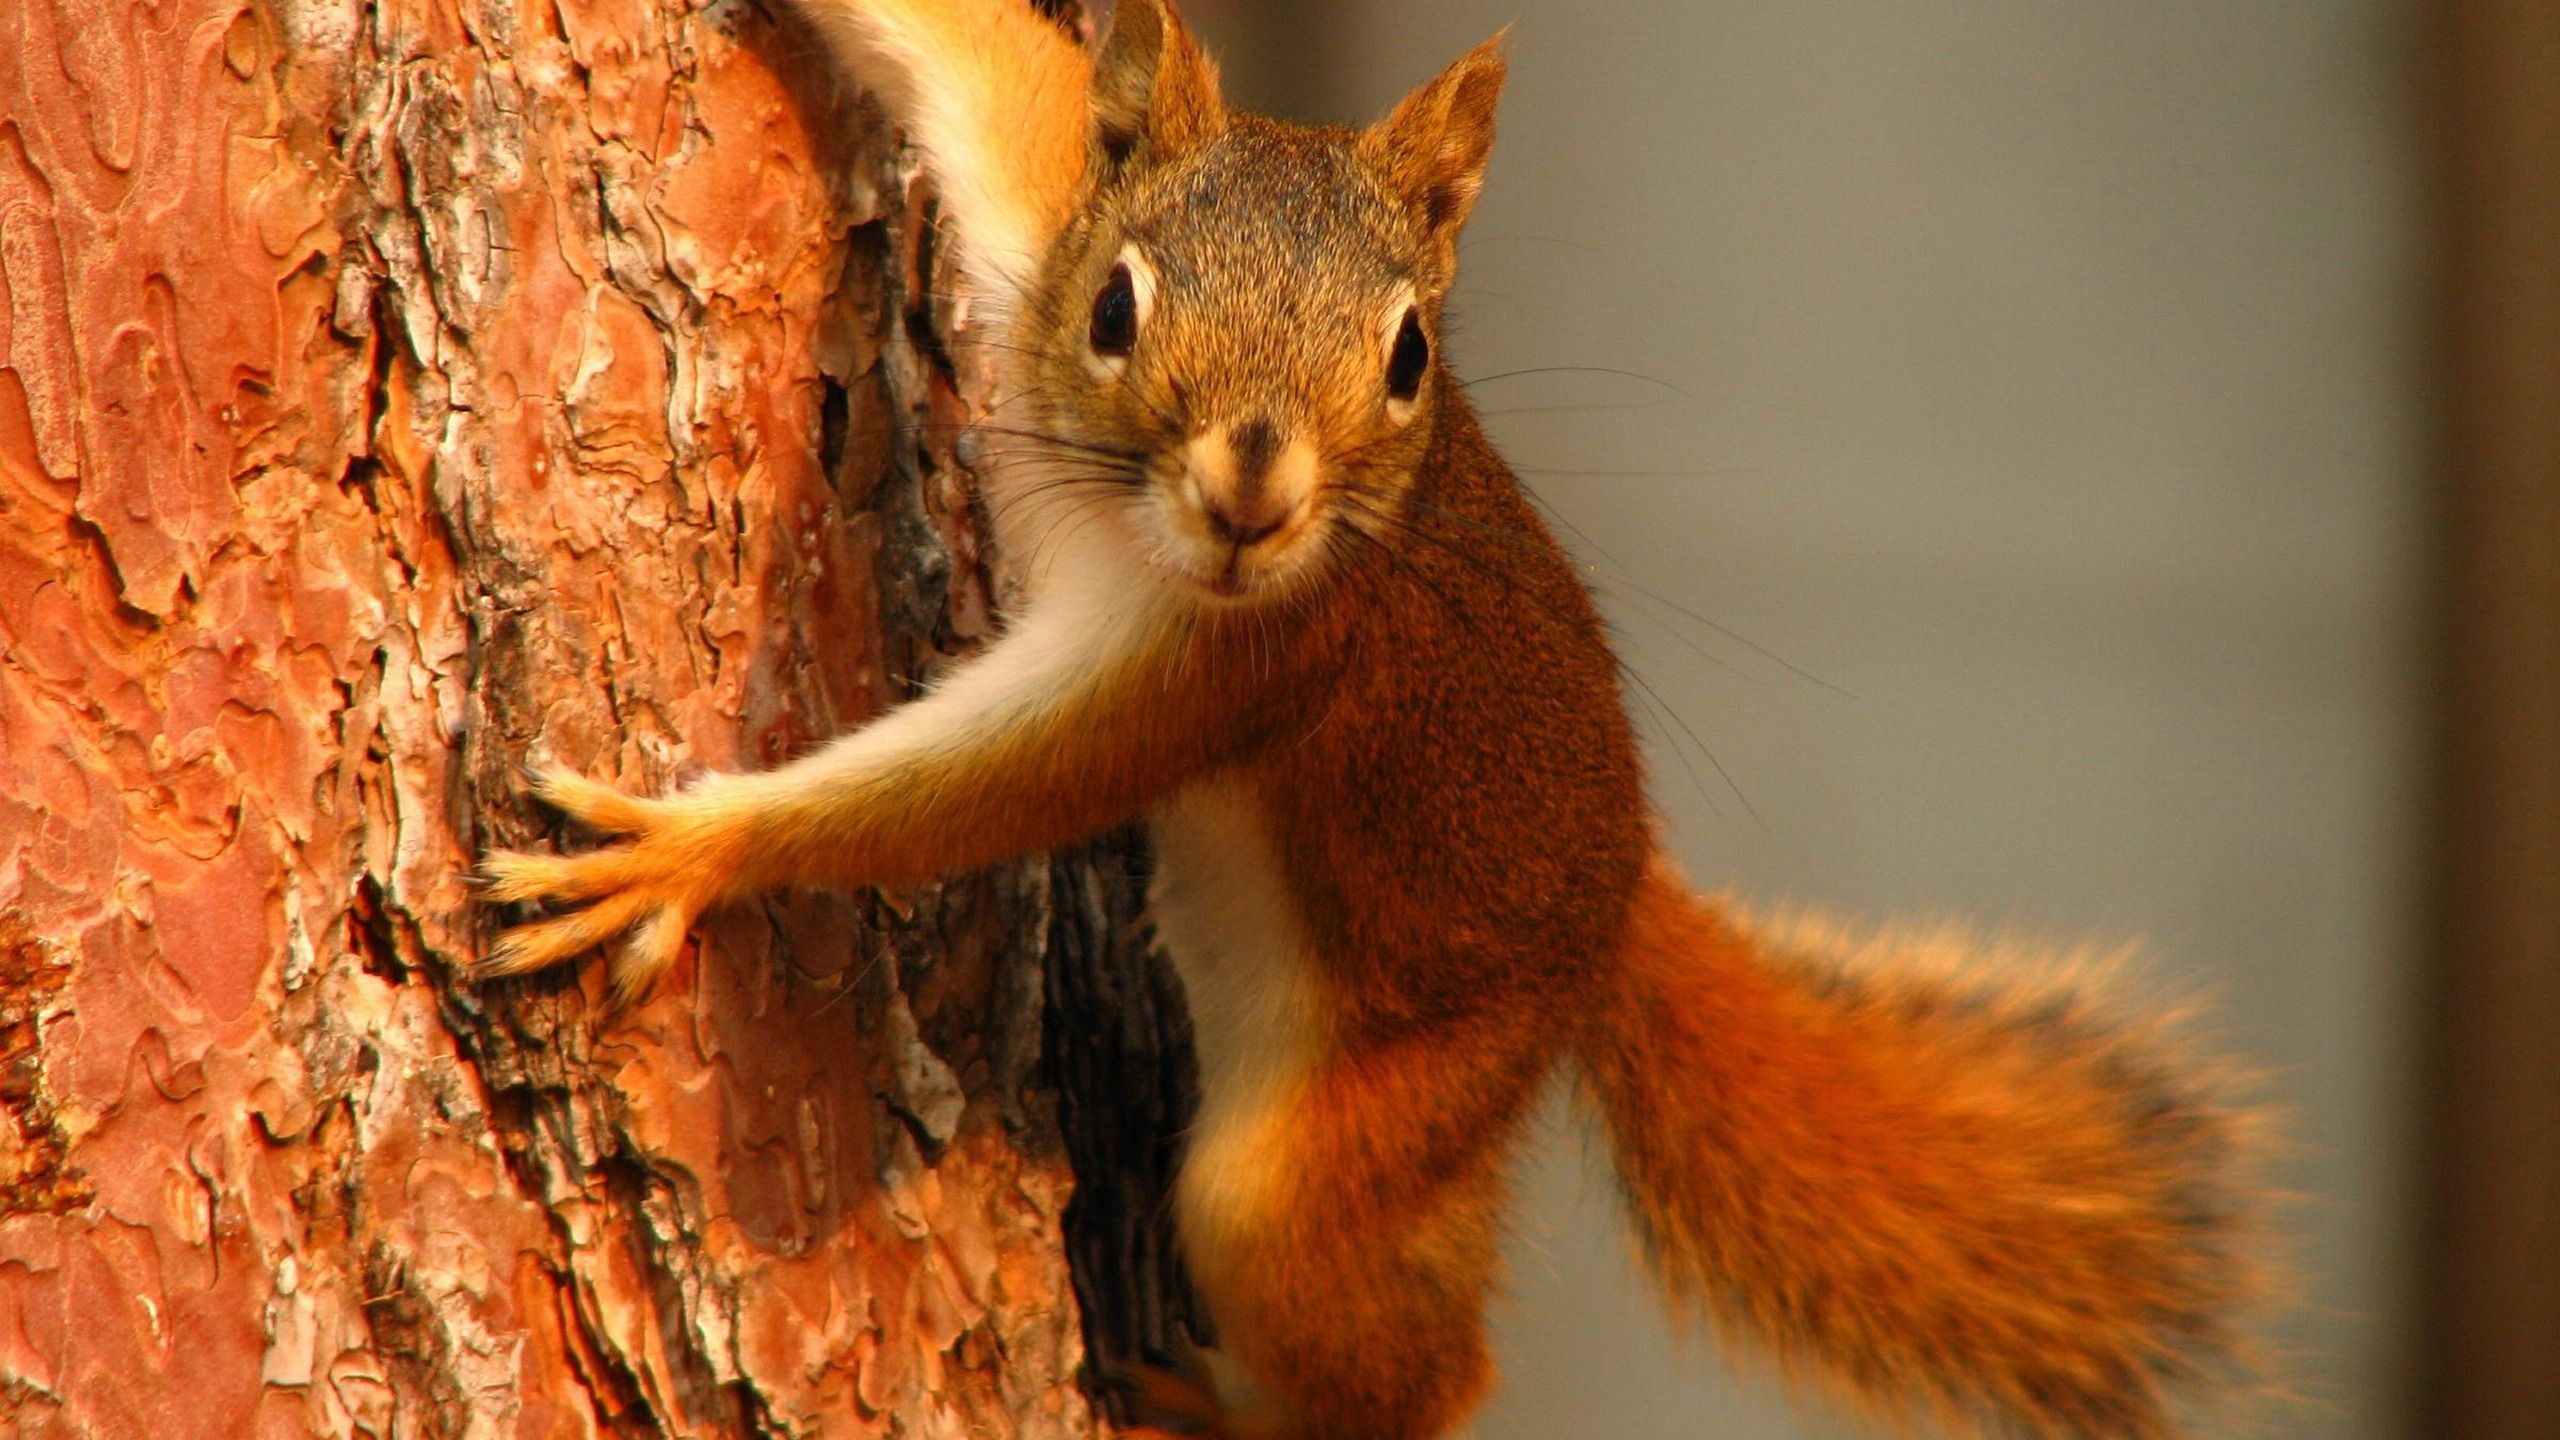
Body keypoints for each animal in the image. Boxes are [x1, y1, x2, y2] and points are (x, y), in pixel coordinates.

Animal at [476, 2, 2263, 1434]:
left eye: (1410, 353)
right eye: (1115, 307)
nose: (1254, 496)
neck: (1126, 524)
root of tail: (1615, 911)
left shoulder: (1235, 666)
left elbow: (976, 792)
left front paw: (686, 853)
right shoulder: (1035, 209)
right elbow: (991, 62)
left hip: (1364, 1130)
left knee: (1410, 1364)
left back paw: (1218, 1409)